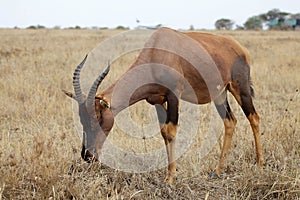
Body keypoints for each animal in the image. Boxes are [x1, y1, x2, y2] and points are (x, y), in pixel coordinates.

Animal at [64, 27, 264, 185]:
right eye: (81, 119)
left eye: (98, 118)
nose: (87, 155)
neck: (157, 49)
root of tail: (240, 48)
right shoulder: (158, 101)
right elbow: (164, 133)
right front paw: (169, 175)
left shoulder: (174, 95)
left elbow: (171, 132)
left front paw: (170, 180)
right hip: (220, 94)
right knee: (230, 121)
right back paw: (217, 171)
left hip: (240, 87)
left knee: (254, 117)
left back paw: (259, 164)